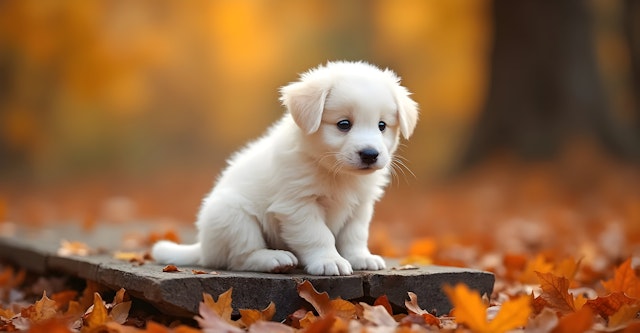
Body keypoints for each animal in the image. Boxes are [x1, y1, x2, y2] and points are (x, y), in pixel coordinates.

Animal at [152, 61, 418, 274]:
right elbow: (318, 235)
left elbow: (355, 235)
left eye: (382, 125)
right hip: (232, 216)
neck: (334, 172)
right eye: (344, 124)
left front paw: (360, 257)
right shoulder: (298, 205)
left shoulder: (360, 206)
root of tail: (203, 248)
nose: (370, 154)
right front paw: (329, 260)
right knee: (240, 257)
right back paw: (273, 258)